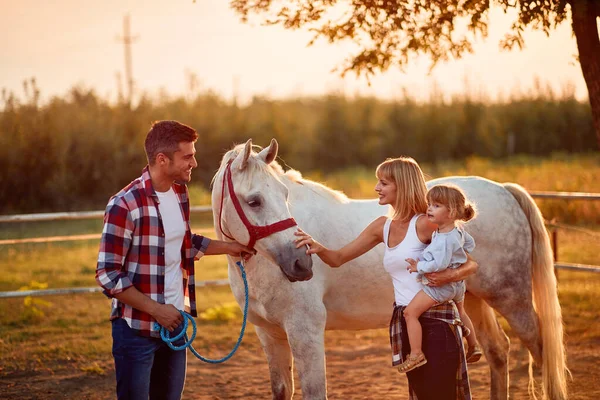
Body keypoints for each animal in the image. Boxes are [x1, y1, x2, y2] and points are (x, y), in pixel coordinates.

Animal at [211, 140, 568, 400]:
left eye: (284, 195)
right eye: (254, 201)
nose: (301, 263)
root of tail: (505, 190)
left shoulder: (305, 332)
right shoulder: (270, 335)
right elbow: (282, 390)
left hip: (511, 299)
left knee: (540, 350)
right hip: (472, 299)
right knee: (498, 351)